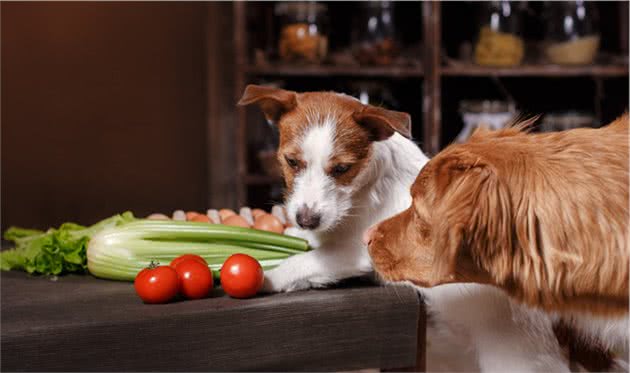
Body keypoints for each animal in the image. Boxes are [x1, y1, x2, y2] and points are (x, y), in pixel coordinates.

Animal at [239, 85, 576, 372]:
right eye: (291, 161)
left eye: (342, 169)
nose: (306, 219)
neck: (364, 192)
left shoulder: (362, 252)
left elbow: (306, 261)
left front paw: (268, 275)